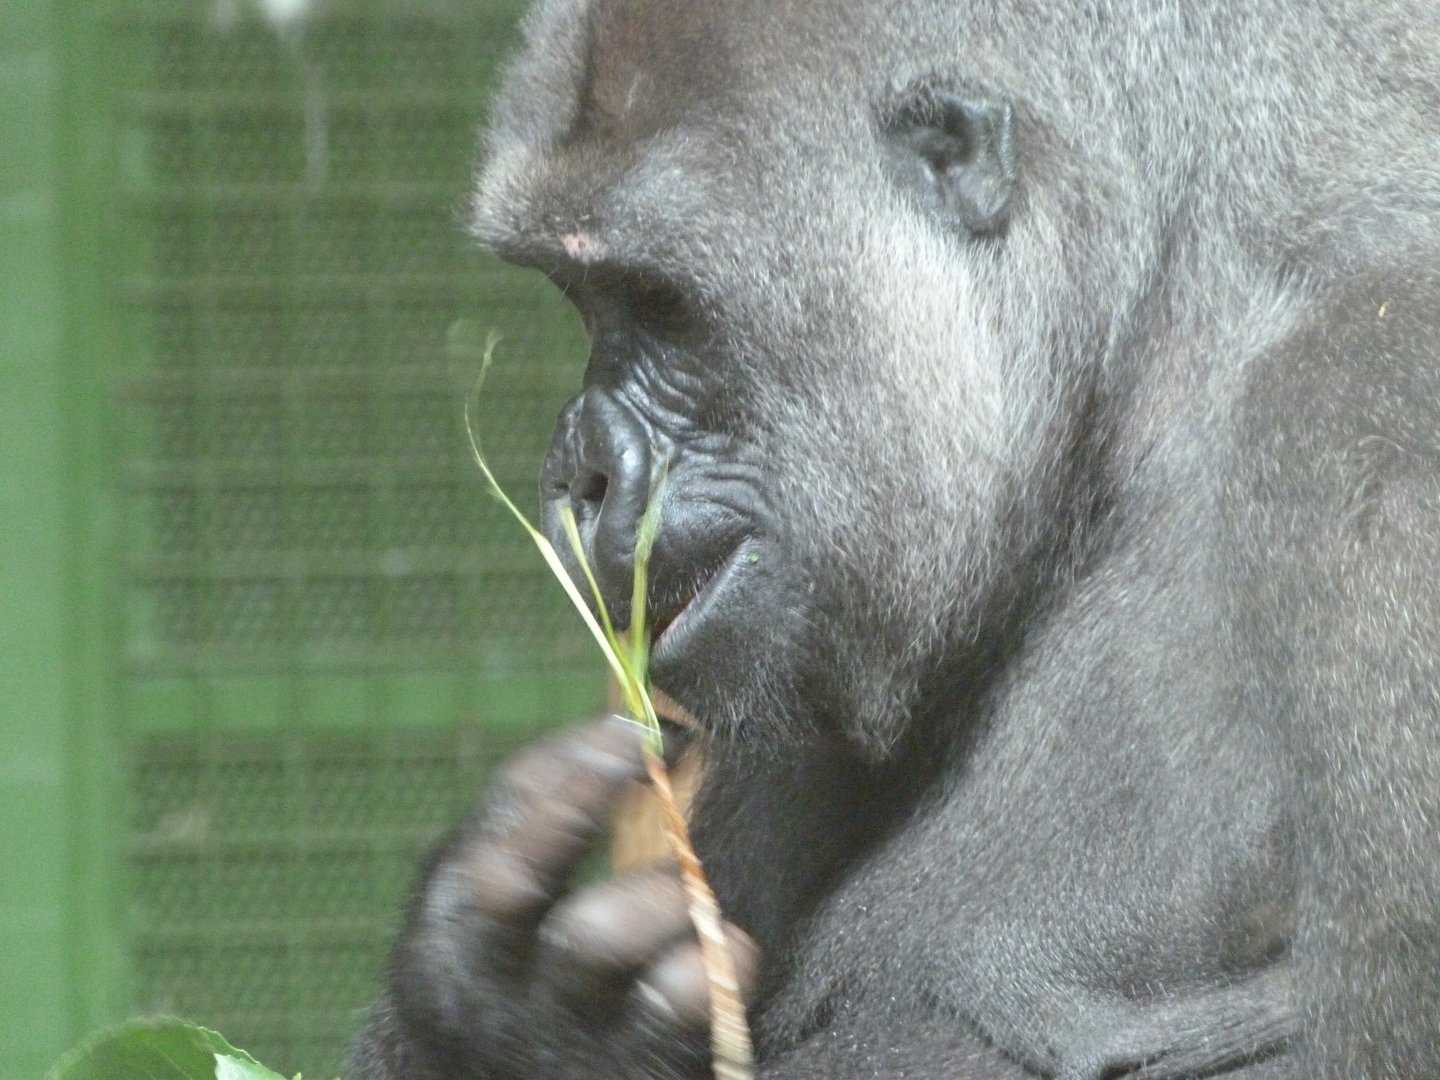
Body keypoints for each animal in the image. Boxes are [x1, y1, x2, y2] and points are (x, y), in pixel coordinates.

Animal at [351, 0, 1440, 1076]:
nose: (578, 474)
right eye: (580, 300)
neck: (1154, 329)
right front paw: (499, 1012)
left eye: (661, 302)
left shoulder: (1366, 408)